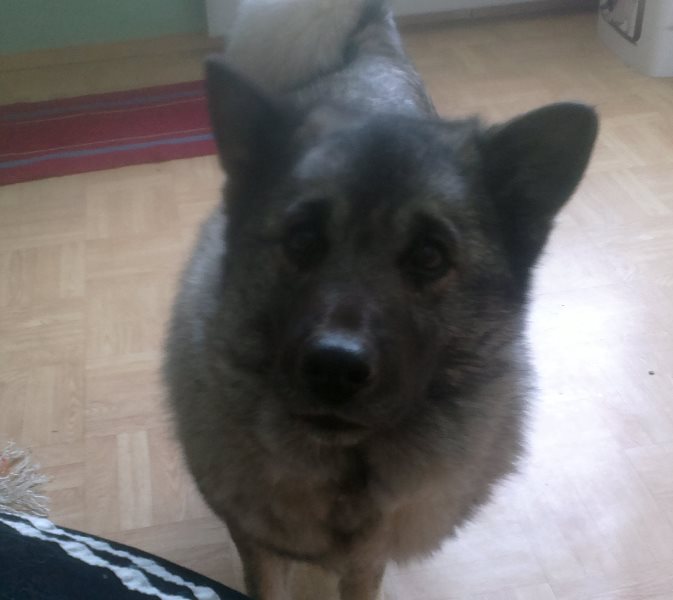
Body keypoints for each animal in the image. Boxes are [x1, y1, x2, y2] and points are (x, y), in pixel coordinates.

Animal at [164, 1, 598, 598]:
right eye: (302, 240)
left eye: (430, 256)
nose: (334, 368)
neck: (346, 472)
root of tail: (369, 44)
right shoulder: (258, 546)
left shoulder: (365, 563)